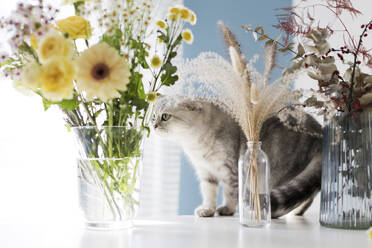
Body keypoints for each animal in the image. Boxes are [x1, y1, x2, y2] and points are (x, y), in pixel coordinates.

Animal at [153, 96, 322, 218]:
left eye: (165, 116)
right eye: (154, 116)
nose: (153, 125)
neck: (195, 144)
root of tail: (320, 131)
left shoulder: (230, 170)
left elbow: (230, 193)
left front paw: (227, 209)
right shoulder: (206, 172)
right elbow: (209, 193)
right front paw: (207, 210)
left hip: (278, 173)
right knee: (308, 196)